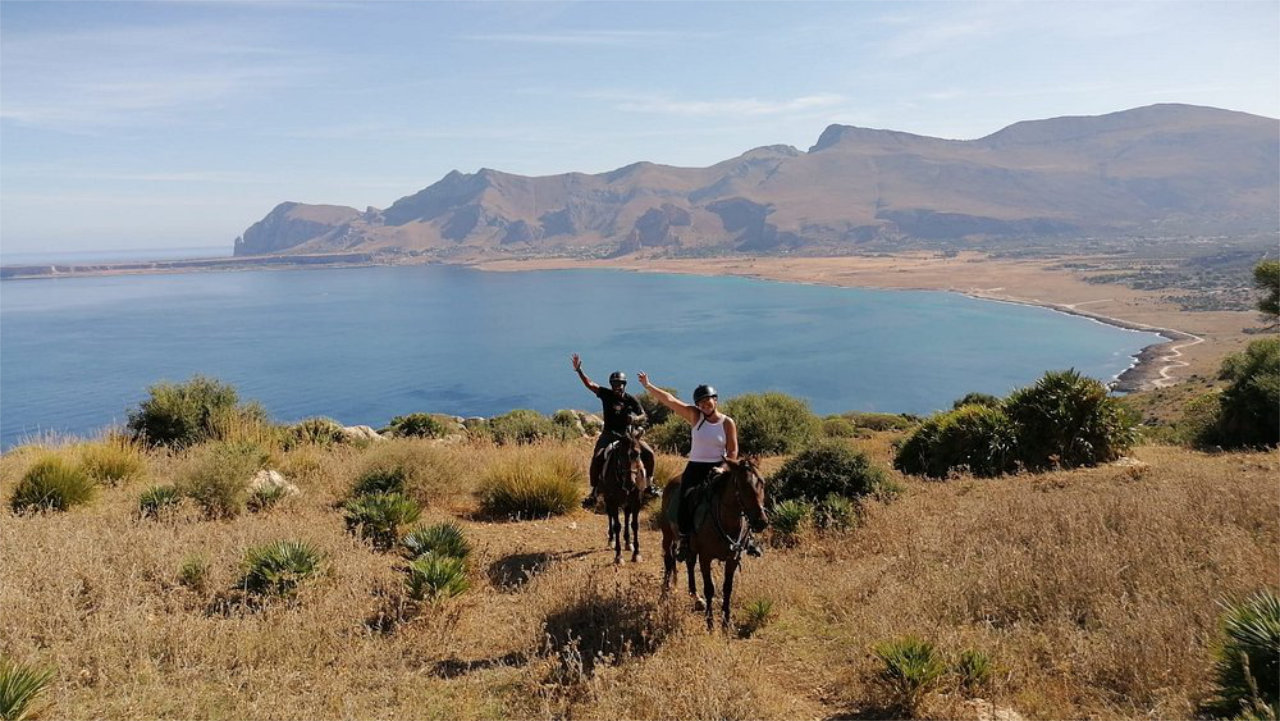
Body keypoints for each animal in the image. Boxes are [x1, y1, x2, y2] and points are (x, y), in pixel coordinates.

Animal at [598, 426, 650, 564]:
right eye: (620, 455)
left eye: (638, 454)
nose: (629, 483)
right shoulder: (613, 501)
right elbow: (617, 526)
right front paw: (618, 556)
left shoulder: (637, 501)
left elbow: (635, 525)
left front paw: (636, 553)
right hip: (608, 499)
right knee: (610, 515)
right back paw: (611, 540)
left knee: (627, 516)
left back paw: (628, 542)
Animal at [659, 456, 769, 629]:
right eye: (742, 485)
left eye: (762, 483)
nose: (761, 522)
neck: (726, 521)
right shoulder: (706, 557)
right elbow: (709, 588)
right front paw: (710, 624)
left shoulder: (733, 559)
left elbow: (727, 588)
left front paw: (726, 622)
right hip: (668, 536)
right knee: (669, 562)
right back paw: (665, 595)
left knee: (690, 563)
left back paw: (696, 598)